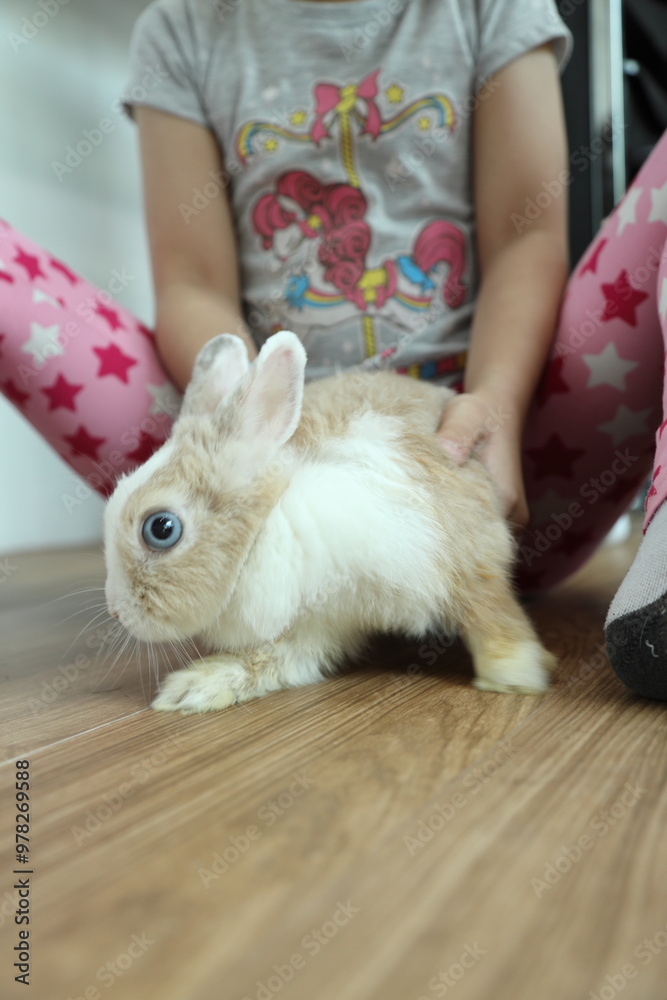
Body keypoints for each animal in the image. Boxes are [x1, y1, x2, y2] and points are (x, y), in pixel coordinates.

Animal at [104, 330, 557, 714]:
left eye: (161, 528)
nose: (116, 613)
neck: (273, 525)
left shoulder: (465, 555)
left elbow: (494, 618)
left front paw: (515, 679)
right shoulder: (317, 624)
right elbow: (274, 659)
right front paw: (195, 688)